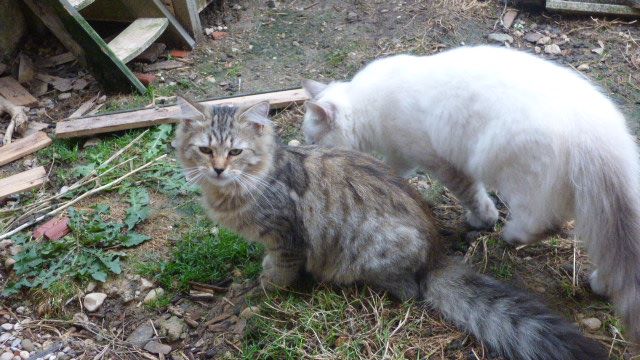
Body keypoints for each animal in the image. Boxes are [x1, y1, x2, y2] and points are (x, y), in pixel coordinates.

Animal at [302, 45, 640, 346]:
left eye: (313, 140)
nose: (309, 152)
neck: (368, 103)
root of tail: (593, 130)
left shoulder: (443, 164)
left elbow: (471, 196)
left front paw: (482, 219)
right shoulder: (403, 155)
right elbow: (394, 171)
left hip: (518, 179)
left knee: (543, 223)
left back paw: (512, 235)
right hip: (602, 206)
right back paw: (601, 283)